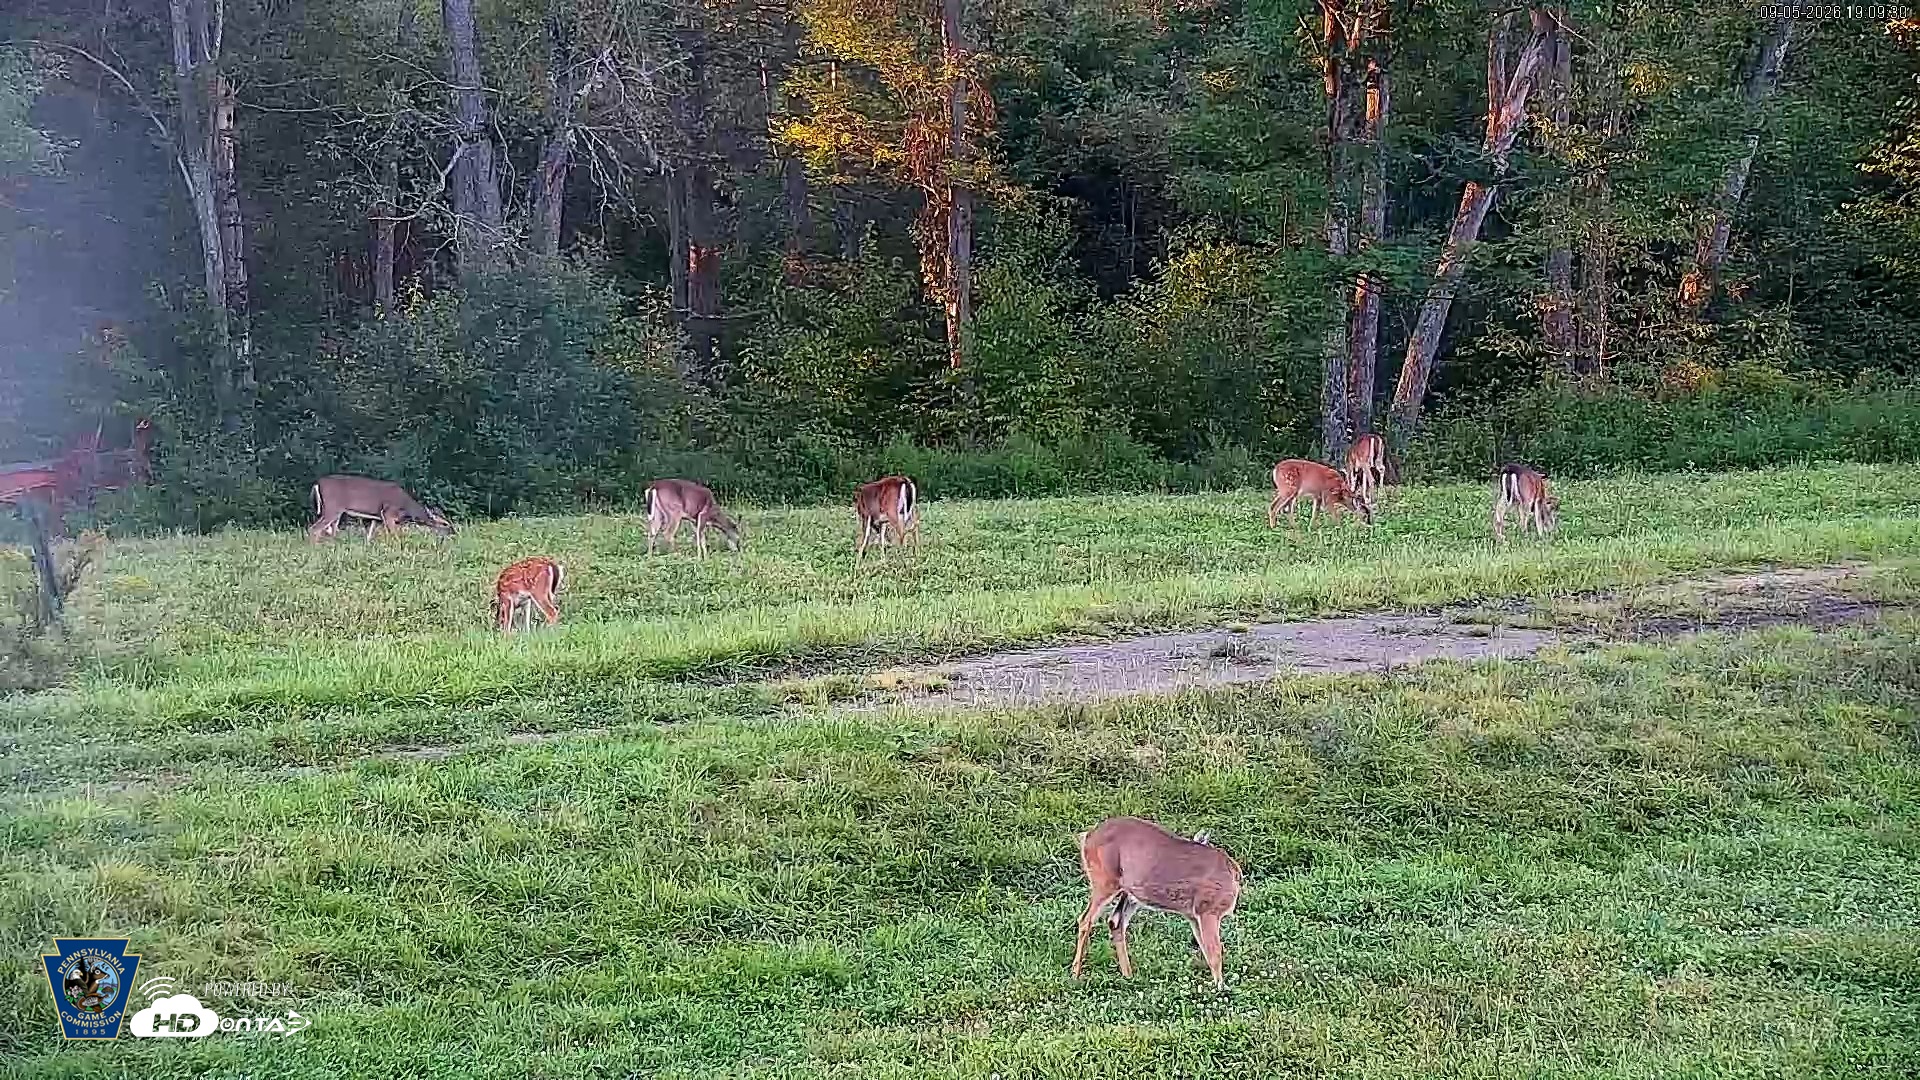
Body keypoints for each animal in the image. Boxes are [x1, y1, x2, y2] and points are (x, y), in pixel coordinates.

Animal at [308, 475, 455, 543]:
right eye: (445, 523)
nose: (454, 532)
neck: (407, 509)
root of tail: (317, 483)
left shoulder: (377, 518)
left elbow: (371, 535)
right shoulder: (388, 512)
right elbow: (395, 535)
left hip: (335, 512)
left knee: (330, 531)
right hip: (332, 508)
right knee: (314, 529)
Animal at [1072, 817, 1243, 989]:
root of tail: (1088, 836)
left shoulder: (1194, 916)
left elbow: (1206, 951)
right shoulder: (1208, 910)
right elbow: (1215, 953)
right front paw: (1219, 989)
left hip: (1130, 893)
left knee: (1115, 921)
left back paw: (1128, 976)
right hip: (1105, 880)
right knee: (1086, 920)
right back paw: (1075, 975)